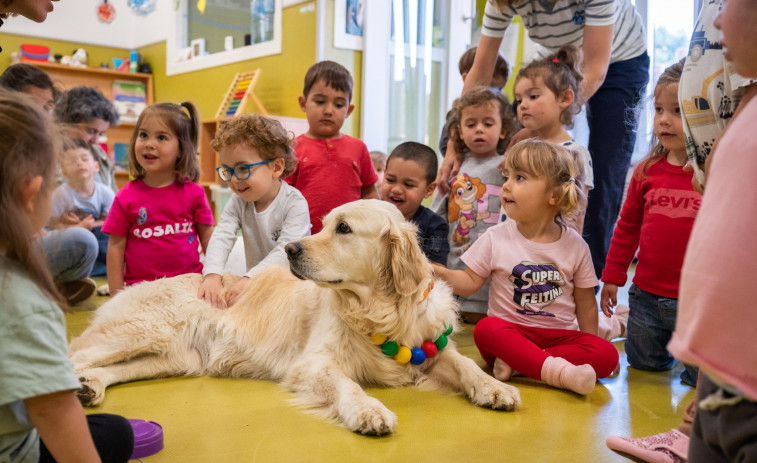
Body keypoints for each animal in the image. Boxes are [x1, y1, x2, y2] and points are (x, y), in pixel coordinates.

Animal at [69, 199, 520, 436]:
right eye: (323, 225)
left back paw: (90, 388)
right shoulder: (312, 364)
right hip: (144, 331)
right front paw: (368, 410)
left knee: (106, 368)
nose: (290, 250)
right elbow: (346, 384)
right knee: (76, 355)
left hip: (175, 357)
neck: (380, 311)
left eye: (343, 228)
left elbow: (463, 364)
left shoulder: (429, 347)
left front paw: (495, 387)